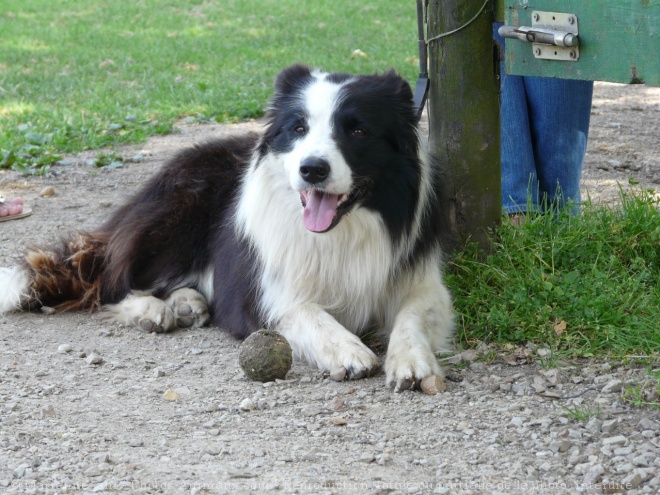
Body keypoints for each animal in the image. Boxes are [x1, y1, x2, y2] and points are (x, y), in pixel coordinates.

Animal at [0, 66, 454, 392]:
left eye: (358, 130)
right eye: (299, 128)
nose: (312, 169)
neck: (341, 232)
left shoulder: (421, 280)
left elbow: (413, 314)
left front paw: (411, 360)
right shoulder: (263, 293)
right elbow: (305, 311)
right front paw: (348, 349)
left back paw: (187, 302)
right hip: (175, 214)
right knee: (111, 278)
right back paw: (151, 309)